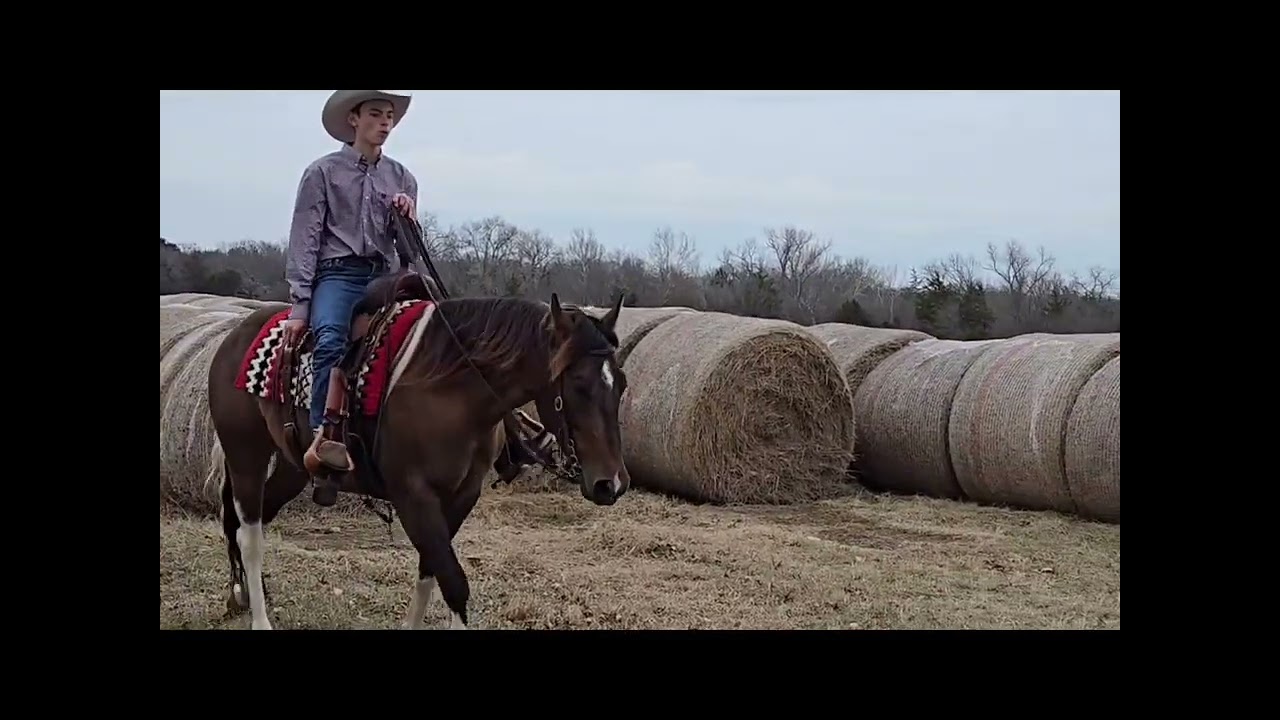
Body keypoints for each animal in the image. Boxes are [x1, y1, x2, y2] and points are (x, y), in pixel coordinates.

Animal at [204, 277, 631, 630]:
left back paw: (243, 596)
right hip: (246, 455)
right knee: (249, 534)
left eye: (622, 384)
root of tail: (235, 335)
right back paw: (259, 618)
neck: (451, 390)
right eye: (578, 383)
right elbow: (454, 582)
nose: (612, 484)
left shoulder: (461, 496)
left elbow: (431, 570)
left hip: (292, 467)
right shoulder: (413, 496)